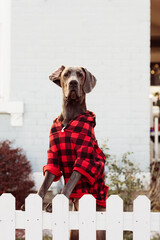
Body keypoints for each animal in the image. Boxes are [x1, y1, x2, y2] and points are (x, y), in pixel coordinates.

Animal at [37, 65, 108, 240]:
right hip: (73, 232)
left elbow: (67, 186)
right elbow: (44, 183)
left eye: (80, 74)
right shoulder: (53, 155)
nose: (73, 82)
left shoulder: (84, 157)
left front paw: (54, 204)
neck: (69, 116)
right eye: (66, 74)